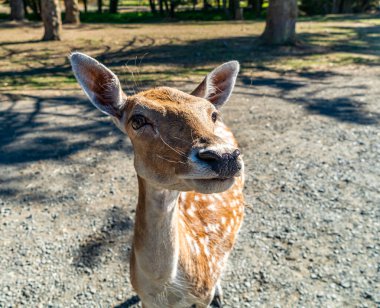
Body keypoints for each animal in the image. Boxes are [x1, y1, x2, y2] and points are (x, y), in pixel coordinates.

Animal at [70, 51, 245, 306]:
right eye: (138, 120)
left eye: (212, 113)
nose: (224, 156)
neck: (165, 290)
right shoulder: (145, 298)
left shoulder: (202, 297)